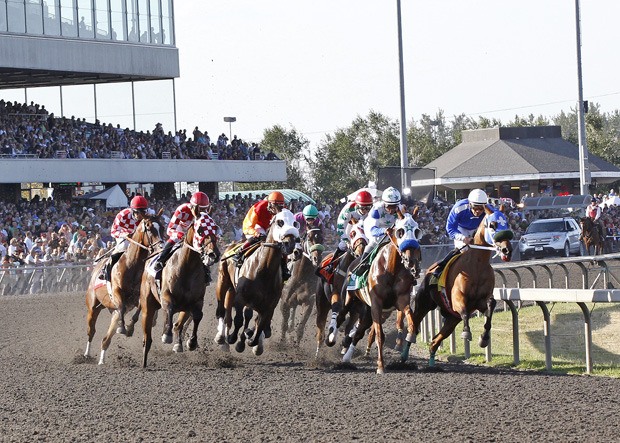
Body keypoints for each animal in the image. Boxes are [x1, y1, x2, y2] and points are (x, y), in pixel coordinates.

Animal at [83, 213, 163, 366]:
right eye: (149, 228)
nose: (161, 248)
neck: (132, 266)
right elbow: (121, 306)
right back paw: (86, 354)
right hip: (93, 306)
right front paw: (123, 327)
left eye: (162, 226)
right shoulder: (117, 293)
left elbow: (138, 311)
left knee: (106, 337)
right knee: (91, 330)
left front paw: (130, 327)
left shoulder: (138, 297)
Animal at [140, 217, 220, 370]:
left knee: (178, 324)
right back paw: (145, 359)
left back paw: (178, 343)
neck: (187, 266)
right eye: (200, 230)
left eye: (216, 229)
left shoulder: (196, 301)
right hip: (148, 305)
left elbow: (198, 316)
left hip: (185, 308)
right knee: (148, 334)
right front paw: (167, 336)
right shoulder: (166, 297)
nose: (214, 254)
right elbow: (170, 309)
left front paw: (191, 343)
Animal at [214, 209, 300, 358]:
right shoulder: (241, 298)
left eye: (295, 223)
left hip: (232, 289)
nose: (290, 244)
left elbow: (259, 324)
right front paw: (234, 339)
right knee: (221, 310)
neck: (263, 270)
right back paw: (221, 337)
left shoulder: (269, 305)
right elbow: (240, 319)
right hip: (223, 282)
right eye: (280, 222)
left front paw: (250, 340)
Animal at [340, 212, 422, 374]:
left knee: (359, 331)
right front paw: (380, 366)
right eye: (401, 231)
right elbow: (379, 335)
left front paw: (409, 336)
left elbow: (409, 319)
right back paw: (330, 339)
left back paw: (347, 355)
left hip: (366, 310)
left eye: (417, 231)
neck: (390, 269)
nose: (412, 264)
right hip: (348, 299)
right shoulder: (377, 304)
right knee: (340, 317)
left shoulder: (402, 299)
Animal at [412, 207, 512, 368]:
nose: (506, 250)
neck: (477, 266)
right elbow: (465, 311)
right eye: (492, 225)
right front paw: (466, 332)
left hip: (452, 319)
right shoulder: (457, 298)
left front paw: (484, 338)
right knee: (413, 325)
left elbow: (491, 306)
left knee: (435, 341)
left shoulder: (480, 301)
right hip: (424, 304)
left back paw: (432, 362)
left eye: (507, 223)